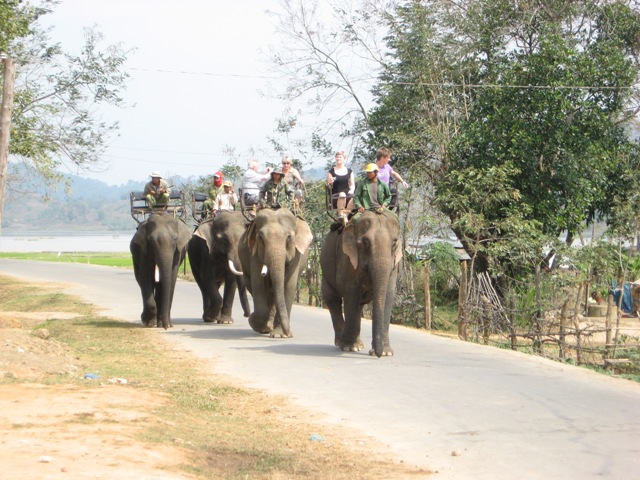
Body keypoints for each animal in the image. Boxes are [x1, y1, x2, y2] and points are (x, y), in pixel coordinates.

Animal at [238, 207, 312, 338]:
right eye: (261, 238)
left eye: (288, 238)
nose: (289, 333)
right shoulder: (254, 253)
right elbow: (257, 281)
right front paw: (254, 321)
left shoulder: (296, 256)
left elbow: (289, 286)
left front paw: (279, 335)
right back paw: (266, 327)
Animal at [322, 210, 402, 356]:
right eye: (365, 242)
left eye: (394, 243)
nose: (376, 354)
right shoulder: (346, 258)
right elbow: (351, 293)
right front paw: (350, 348)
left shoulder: (395, 264)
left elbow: (388, 295)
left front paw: (386, 353)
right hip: (326, 271)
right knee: (332, 299)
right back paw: (342, 343)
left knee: (358, 305)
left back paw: (357, 344)